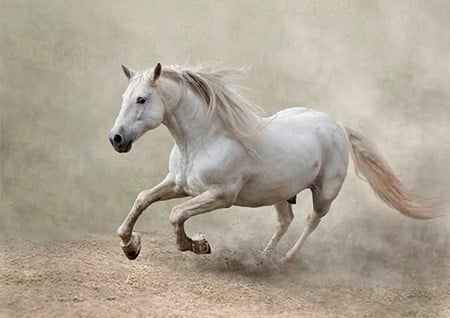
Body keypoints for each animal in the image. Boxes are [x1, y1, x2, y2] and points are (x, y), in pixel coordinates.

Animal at [110, 62, 440, 264]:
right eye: (124, 97)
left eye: (141, 99)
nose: (116, 139)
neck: (204, 139)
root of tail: (337, 126)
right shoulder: (178, 184)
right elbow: (142, 199)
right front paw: (130, 246)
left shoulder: (221, 196)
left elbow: (176, 215)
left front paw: (199, 245)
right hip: (280, 193)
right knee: (285, 221)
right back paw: (261, 258)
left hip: (324, 194)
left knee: (311, 221)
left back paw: (286, 259)